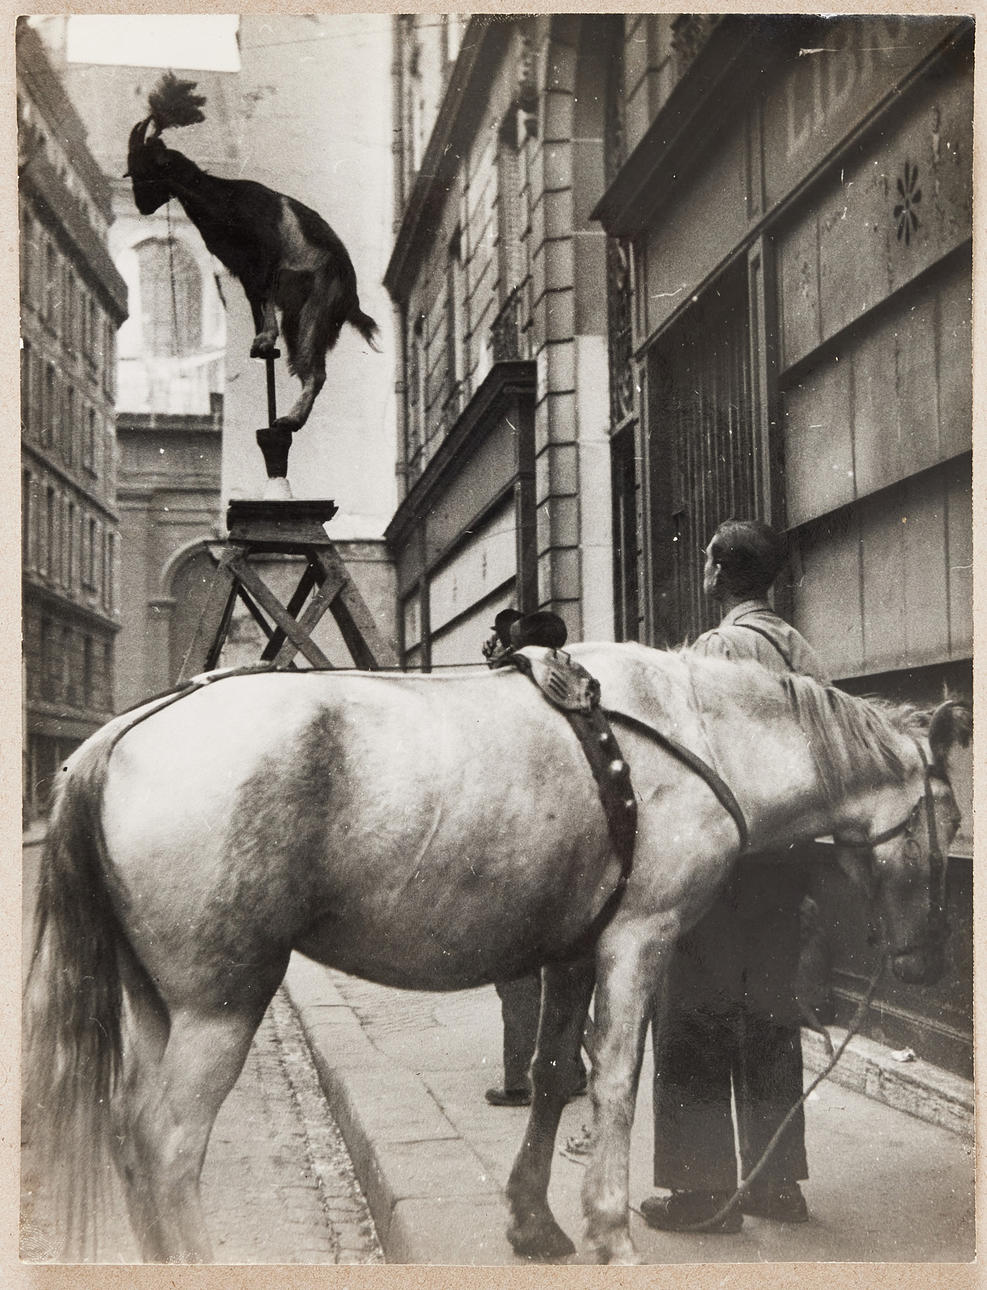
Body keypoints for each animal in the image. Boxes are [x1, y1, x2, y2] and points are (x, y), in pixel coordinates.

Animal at [22, 642, 968, 1265]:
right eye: (953, 815)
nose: (923, 963)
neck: (698, 731)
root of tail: (115, 737)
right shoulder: (639, 937)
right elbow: (615, 1081)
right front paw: (608, 1231)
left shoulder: (575, 950)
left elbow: (552, 1077)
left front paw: (535, 1223)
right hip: (219, 1004)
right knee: (168, 1145)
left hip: (157, 1000)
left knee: (127, 1131)